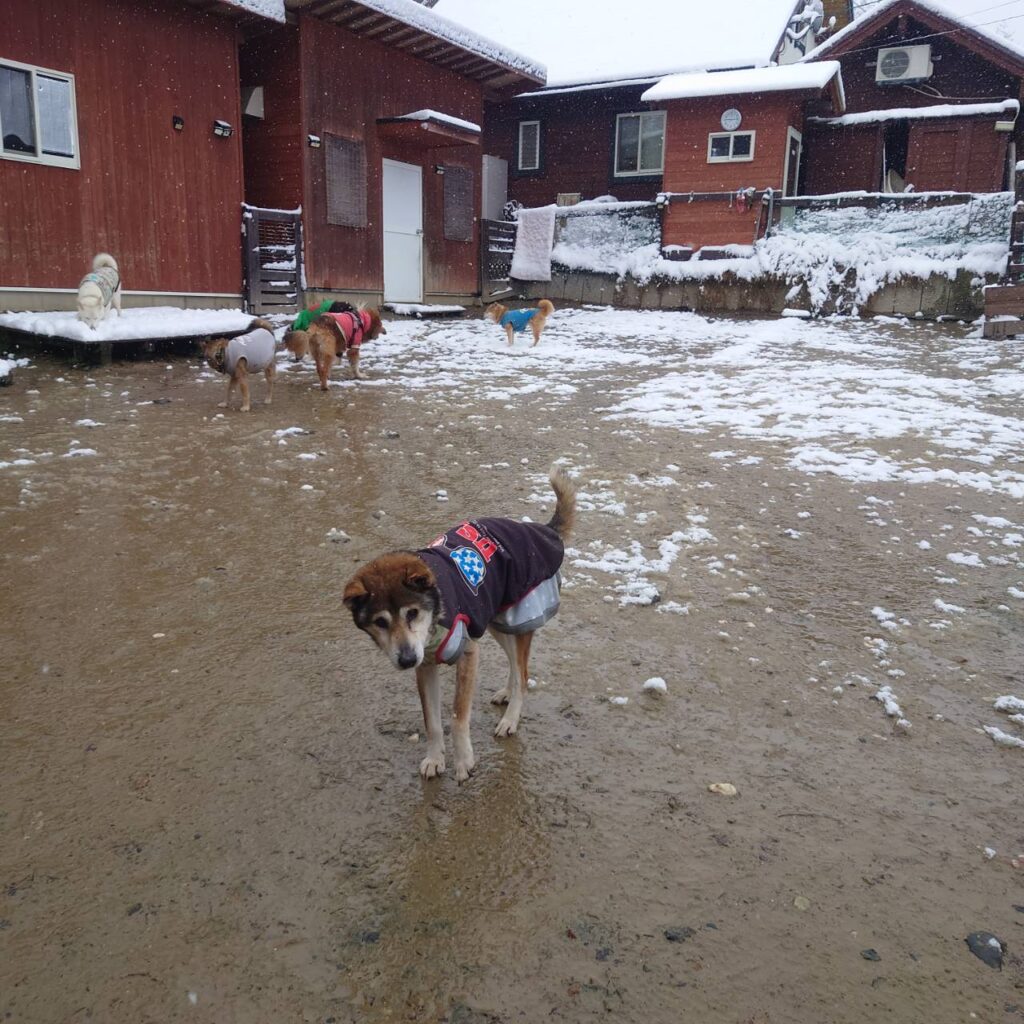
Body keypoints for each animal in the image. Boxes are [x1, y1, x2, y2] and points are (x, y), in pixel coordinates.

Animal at [343, 467, 576, 782]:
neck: (435, 616)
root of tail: (544, 531)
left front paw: (464, 760)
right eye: (380, 621)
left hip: (520, 615)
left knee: (523, 674)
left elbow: (457, 716)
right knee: (514, 665)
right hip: (494, 619)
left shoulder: (467, 653)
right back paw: (506, 692)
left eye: (412, 613)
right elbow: (431, 721)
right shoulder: (426, 666)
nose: (406, 659)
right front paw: (434, 758)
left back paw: (510, 719)